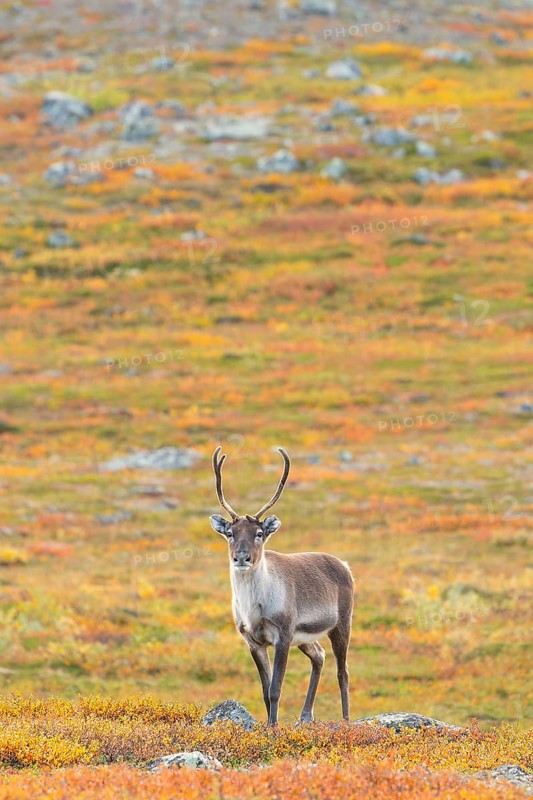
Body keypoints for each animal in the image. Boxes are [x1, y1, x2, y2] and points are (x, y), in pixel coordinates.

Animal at [209, 445, 354, 726]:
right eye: (230, 533)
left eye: (259, 533)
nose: (241, 557)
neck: (253, 607)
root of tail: (344, 565)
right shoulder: (253, 641)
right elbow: (265, 691)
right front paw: (268, 725)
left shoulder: (283, 635)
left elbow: (276, 689)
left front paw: (274, 726)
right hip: (306, 637)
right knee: (319, 656)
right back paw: (306, 715)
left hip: (341, 623)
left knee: (343, 672)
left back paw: (345, 720)